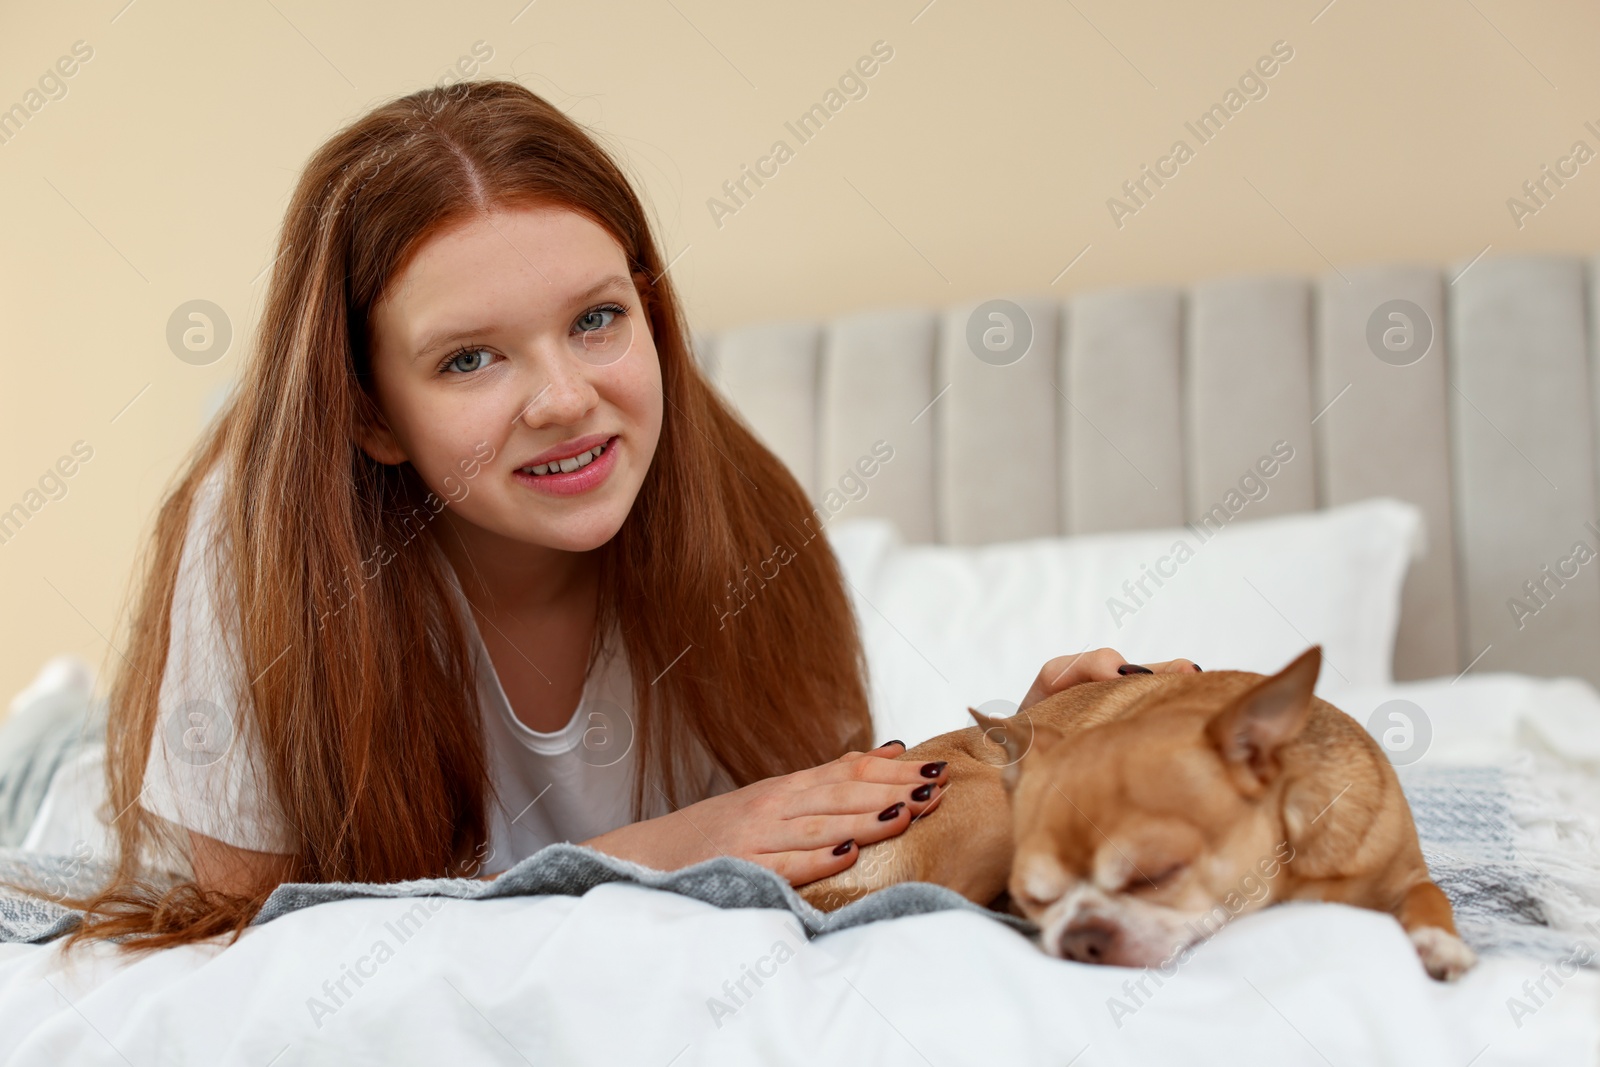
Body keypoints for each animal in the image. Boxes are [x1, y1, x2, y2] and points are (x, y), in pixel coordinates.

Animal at [800, 646, 1472, 979]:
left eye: (1160, 874)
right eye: (1040, 896)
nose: (1082, 936)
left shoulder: (1403, 874)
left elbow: (1429, 899)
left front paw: (1439, 945)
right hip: (990, 809)